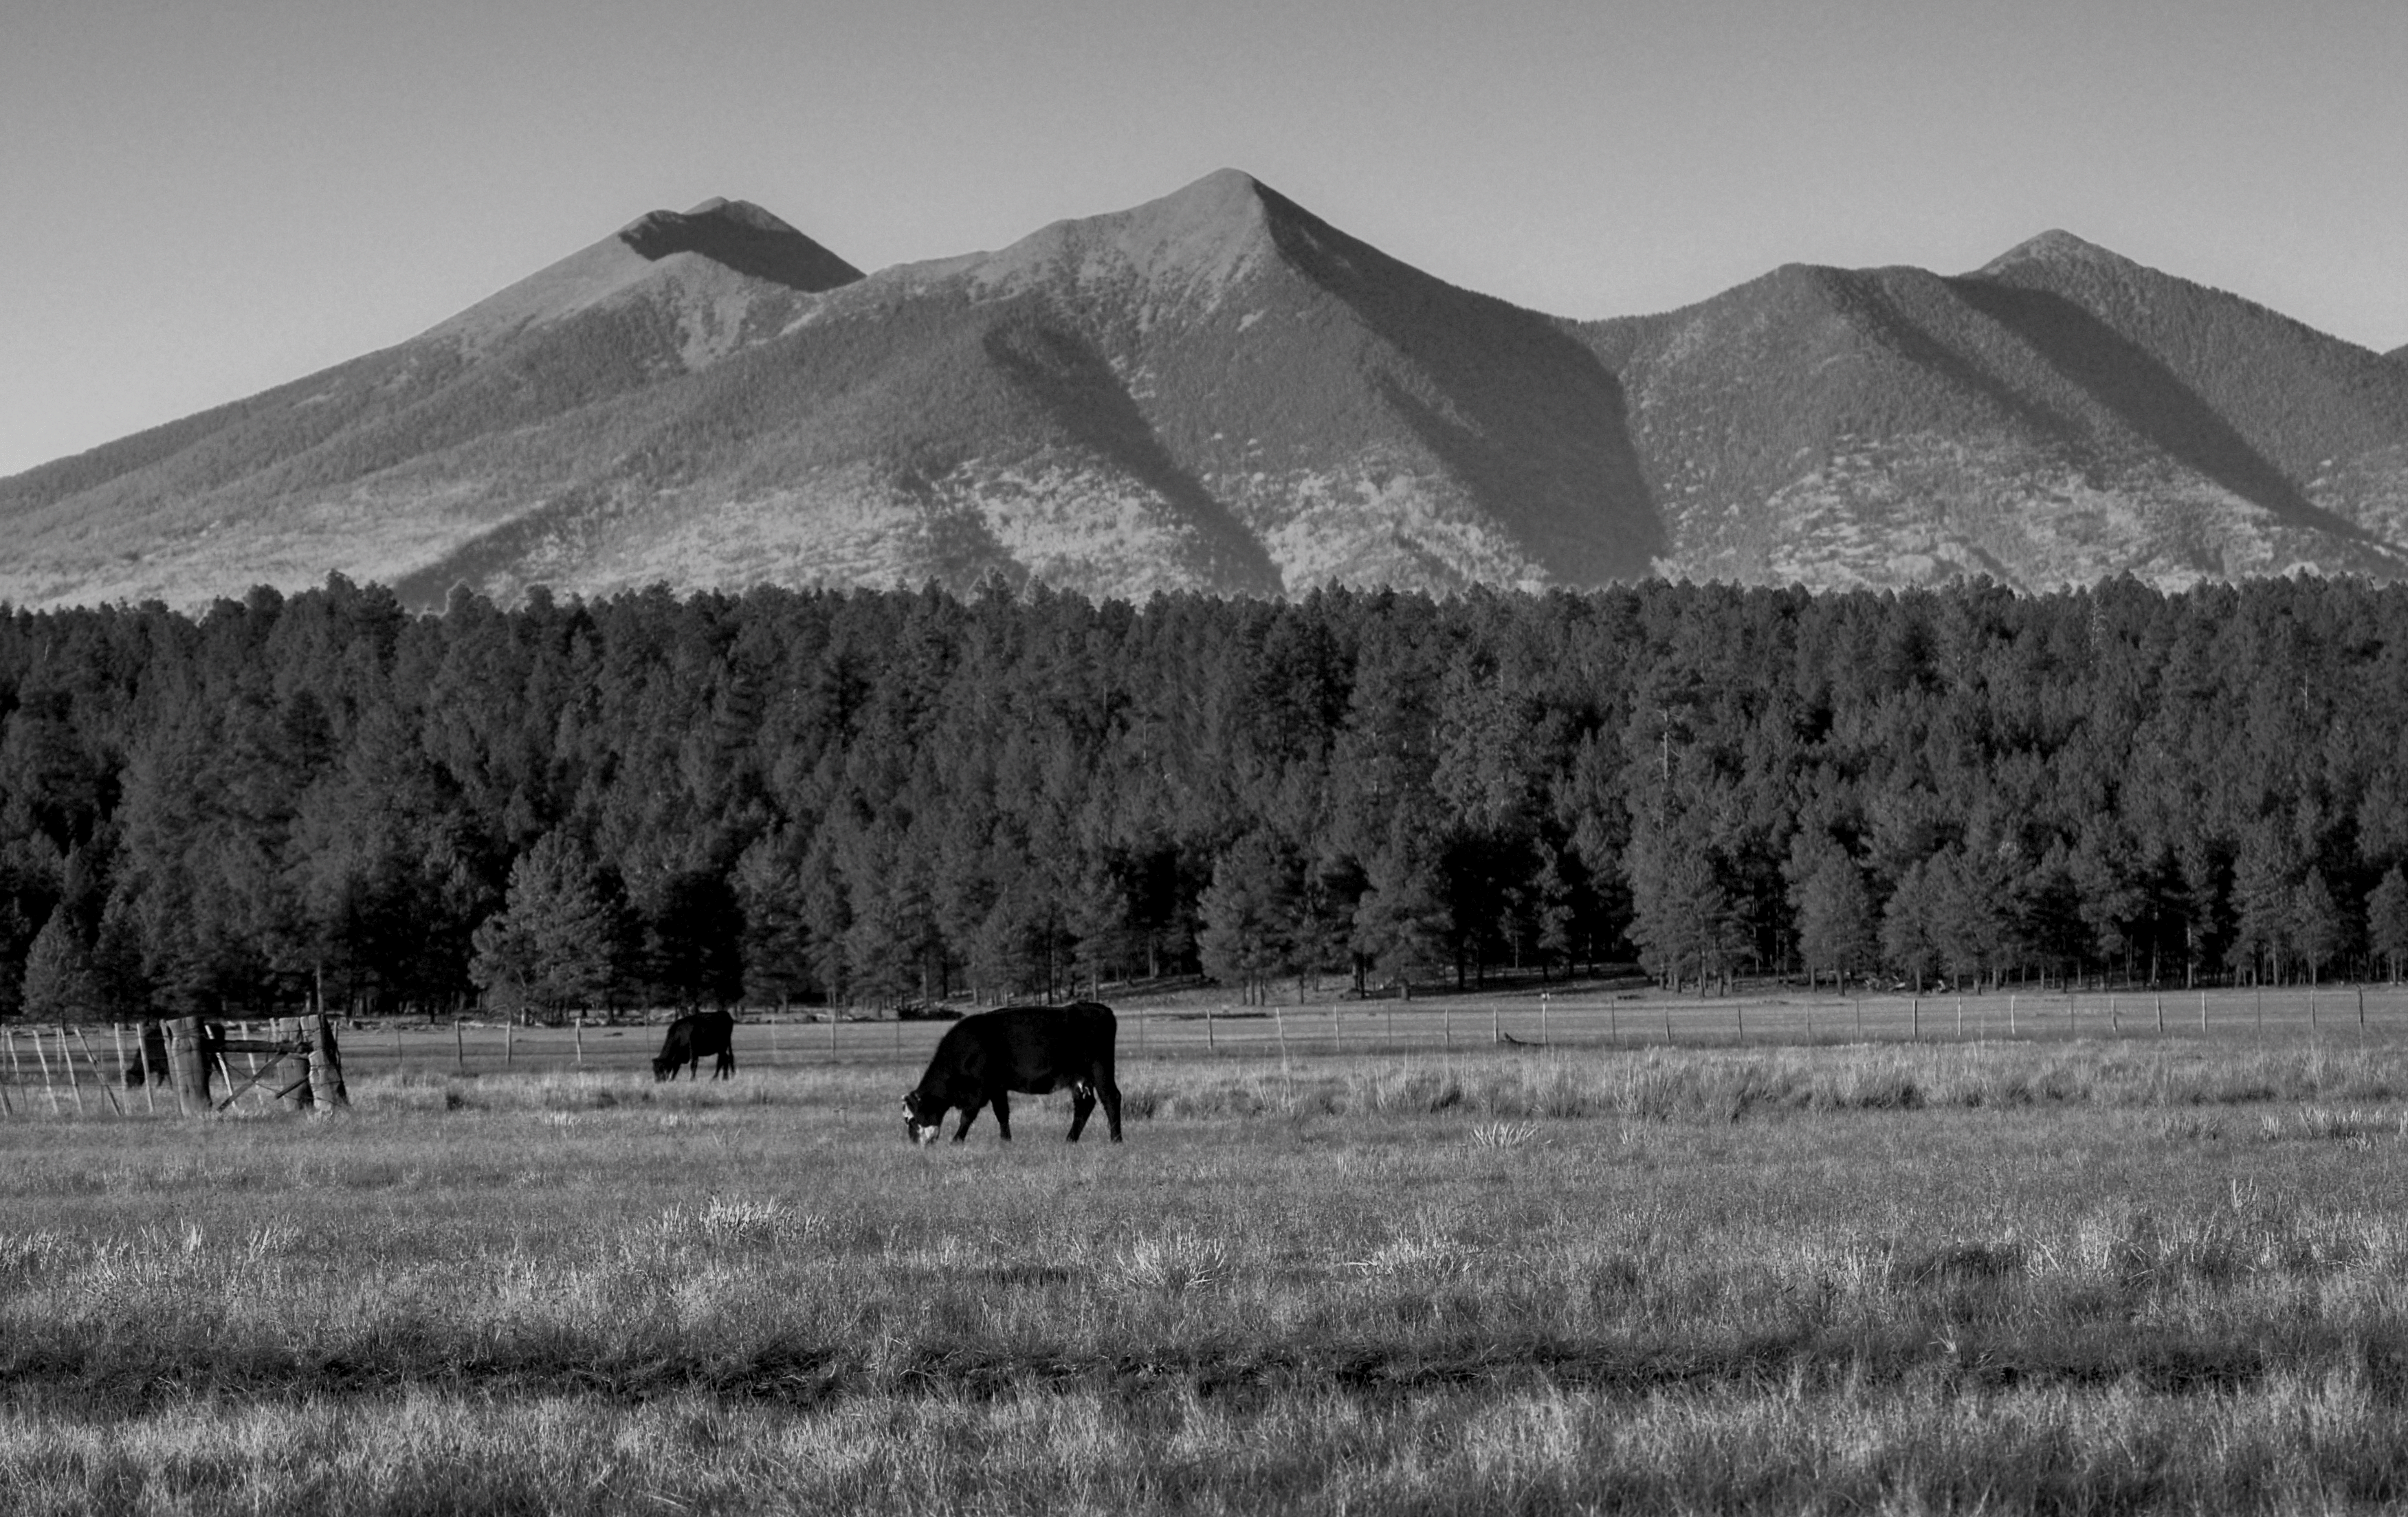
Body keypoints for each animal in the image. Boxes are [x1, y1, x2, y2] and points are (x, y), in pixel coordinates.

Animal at [905, 1006, 1122, 1146]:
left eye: (911, 1119)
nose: (914, 1143)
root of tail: (1101, 1009)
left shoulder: (978, 1091)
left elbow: (967, 1116)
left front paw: (957, 1140)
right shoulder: (997, 1087)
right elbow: (1002, 1113)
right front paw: (1006, 1140)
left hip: (1100, 1068)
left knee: (1111, 1098)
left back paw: (1116, 1139)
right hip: (1080, 1078)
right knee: (1085, 1105)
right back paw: (1070, 1140)